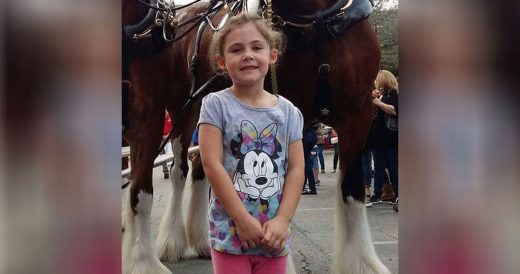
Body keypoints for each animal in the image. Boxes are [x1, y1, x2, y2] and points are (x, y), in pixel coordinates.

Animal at [124, 0, 388, 272]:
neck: (316, 21)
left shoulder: (358, 115)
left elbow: (353, 189)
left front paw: (362, 264)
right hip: (183, 111)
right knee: (179, 171)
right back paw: (172, 241)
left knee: (200, 167)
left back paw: (202, 241)